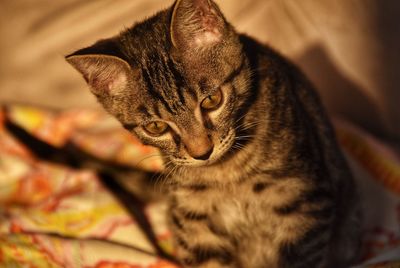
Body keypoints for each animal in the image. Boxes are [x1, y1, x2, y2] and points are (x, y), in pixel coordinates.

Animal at [65, 0, 360, 268]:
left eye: (211, 100)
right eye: (156, 127)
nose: (202, 152)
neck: (226, 174)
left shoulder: (304, 204)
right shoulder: (193, 220)